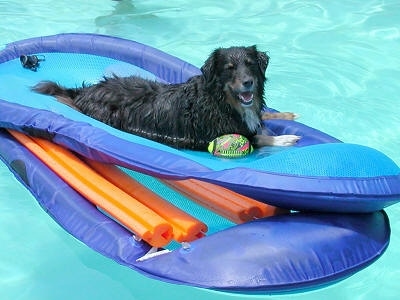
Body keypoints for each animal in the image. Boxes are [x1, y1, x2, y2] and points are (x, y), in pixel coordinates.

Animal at [32, 46, 298, 150]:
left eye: (250, 64)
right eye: (230, 68)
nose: (248, 82)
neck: (221, 102)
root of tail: (85, 92)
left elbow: (262, 120)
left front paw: (284, 115)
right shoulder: (207, 136)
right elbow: (257, 139)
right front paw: (284, 139)